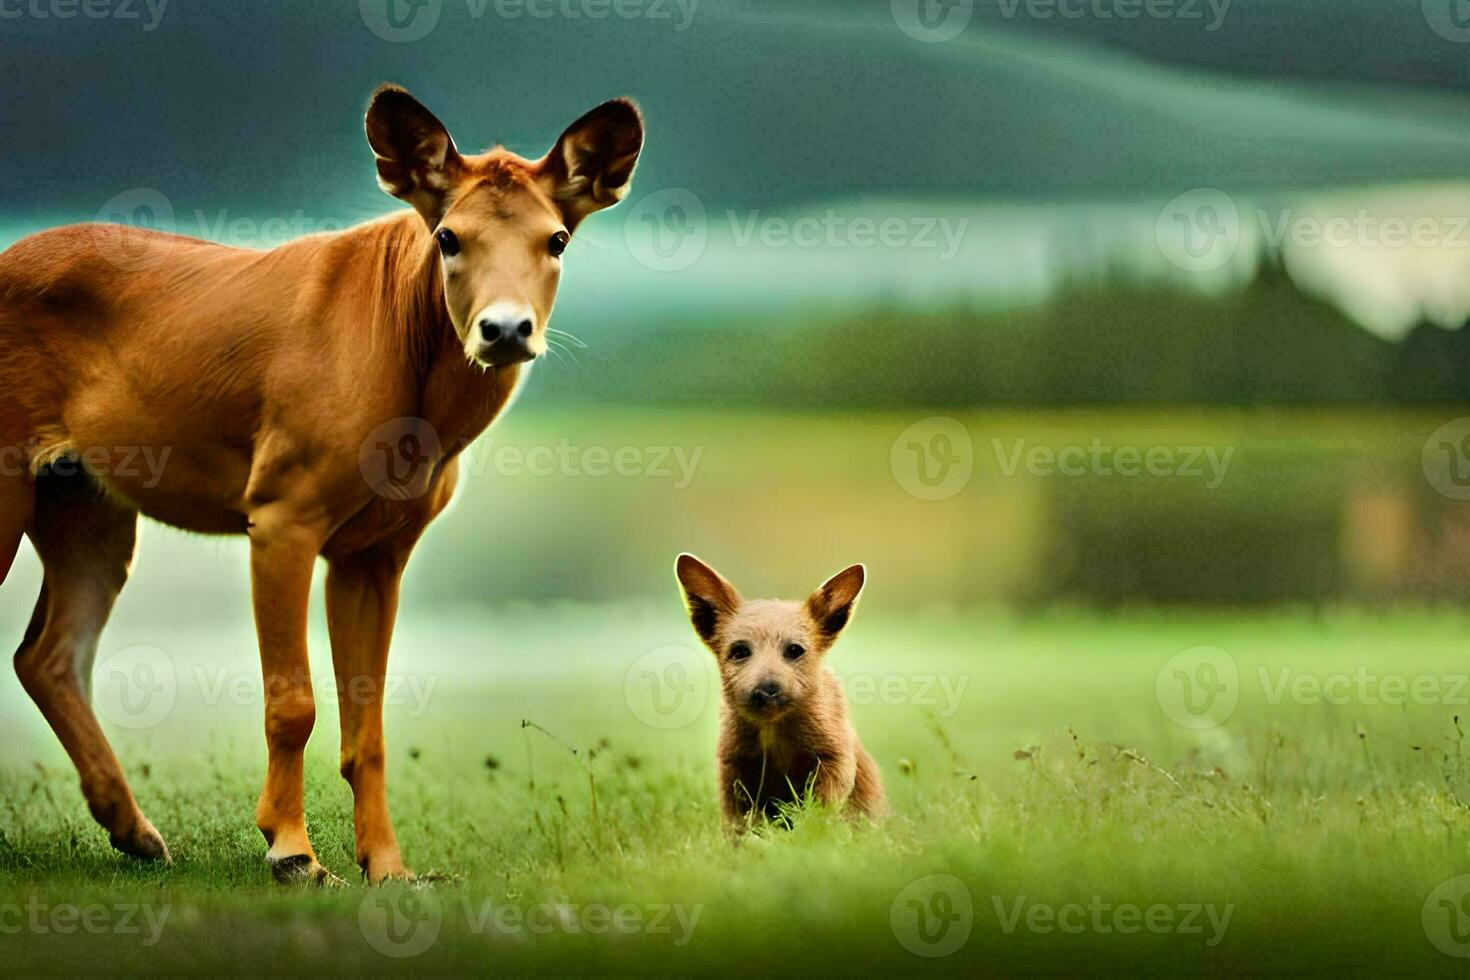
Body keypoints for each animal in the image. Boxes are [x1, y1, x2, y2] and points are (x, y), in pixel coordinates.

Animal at [0, 86, 649, 881]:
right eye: (448, 237)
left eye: (556, 239)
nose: (504, 329)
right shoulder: (283, 506)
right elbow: (293, 702)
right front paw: (291, 850)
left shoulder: (377, 546)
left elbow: (367, 722)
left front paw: (388, 866)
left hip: (86, 505)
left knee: (47, 654)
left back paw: (135, 831)